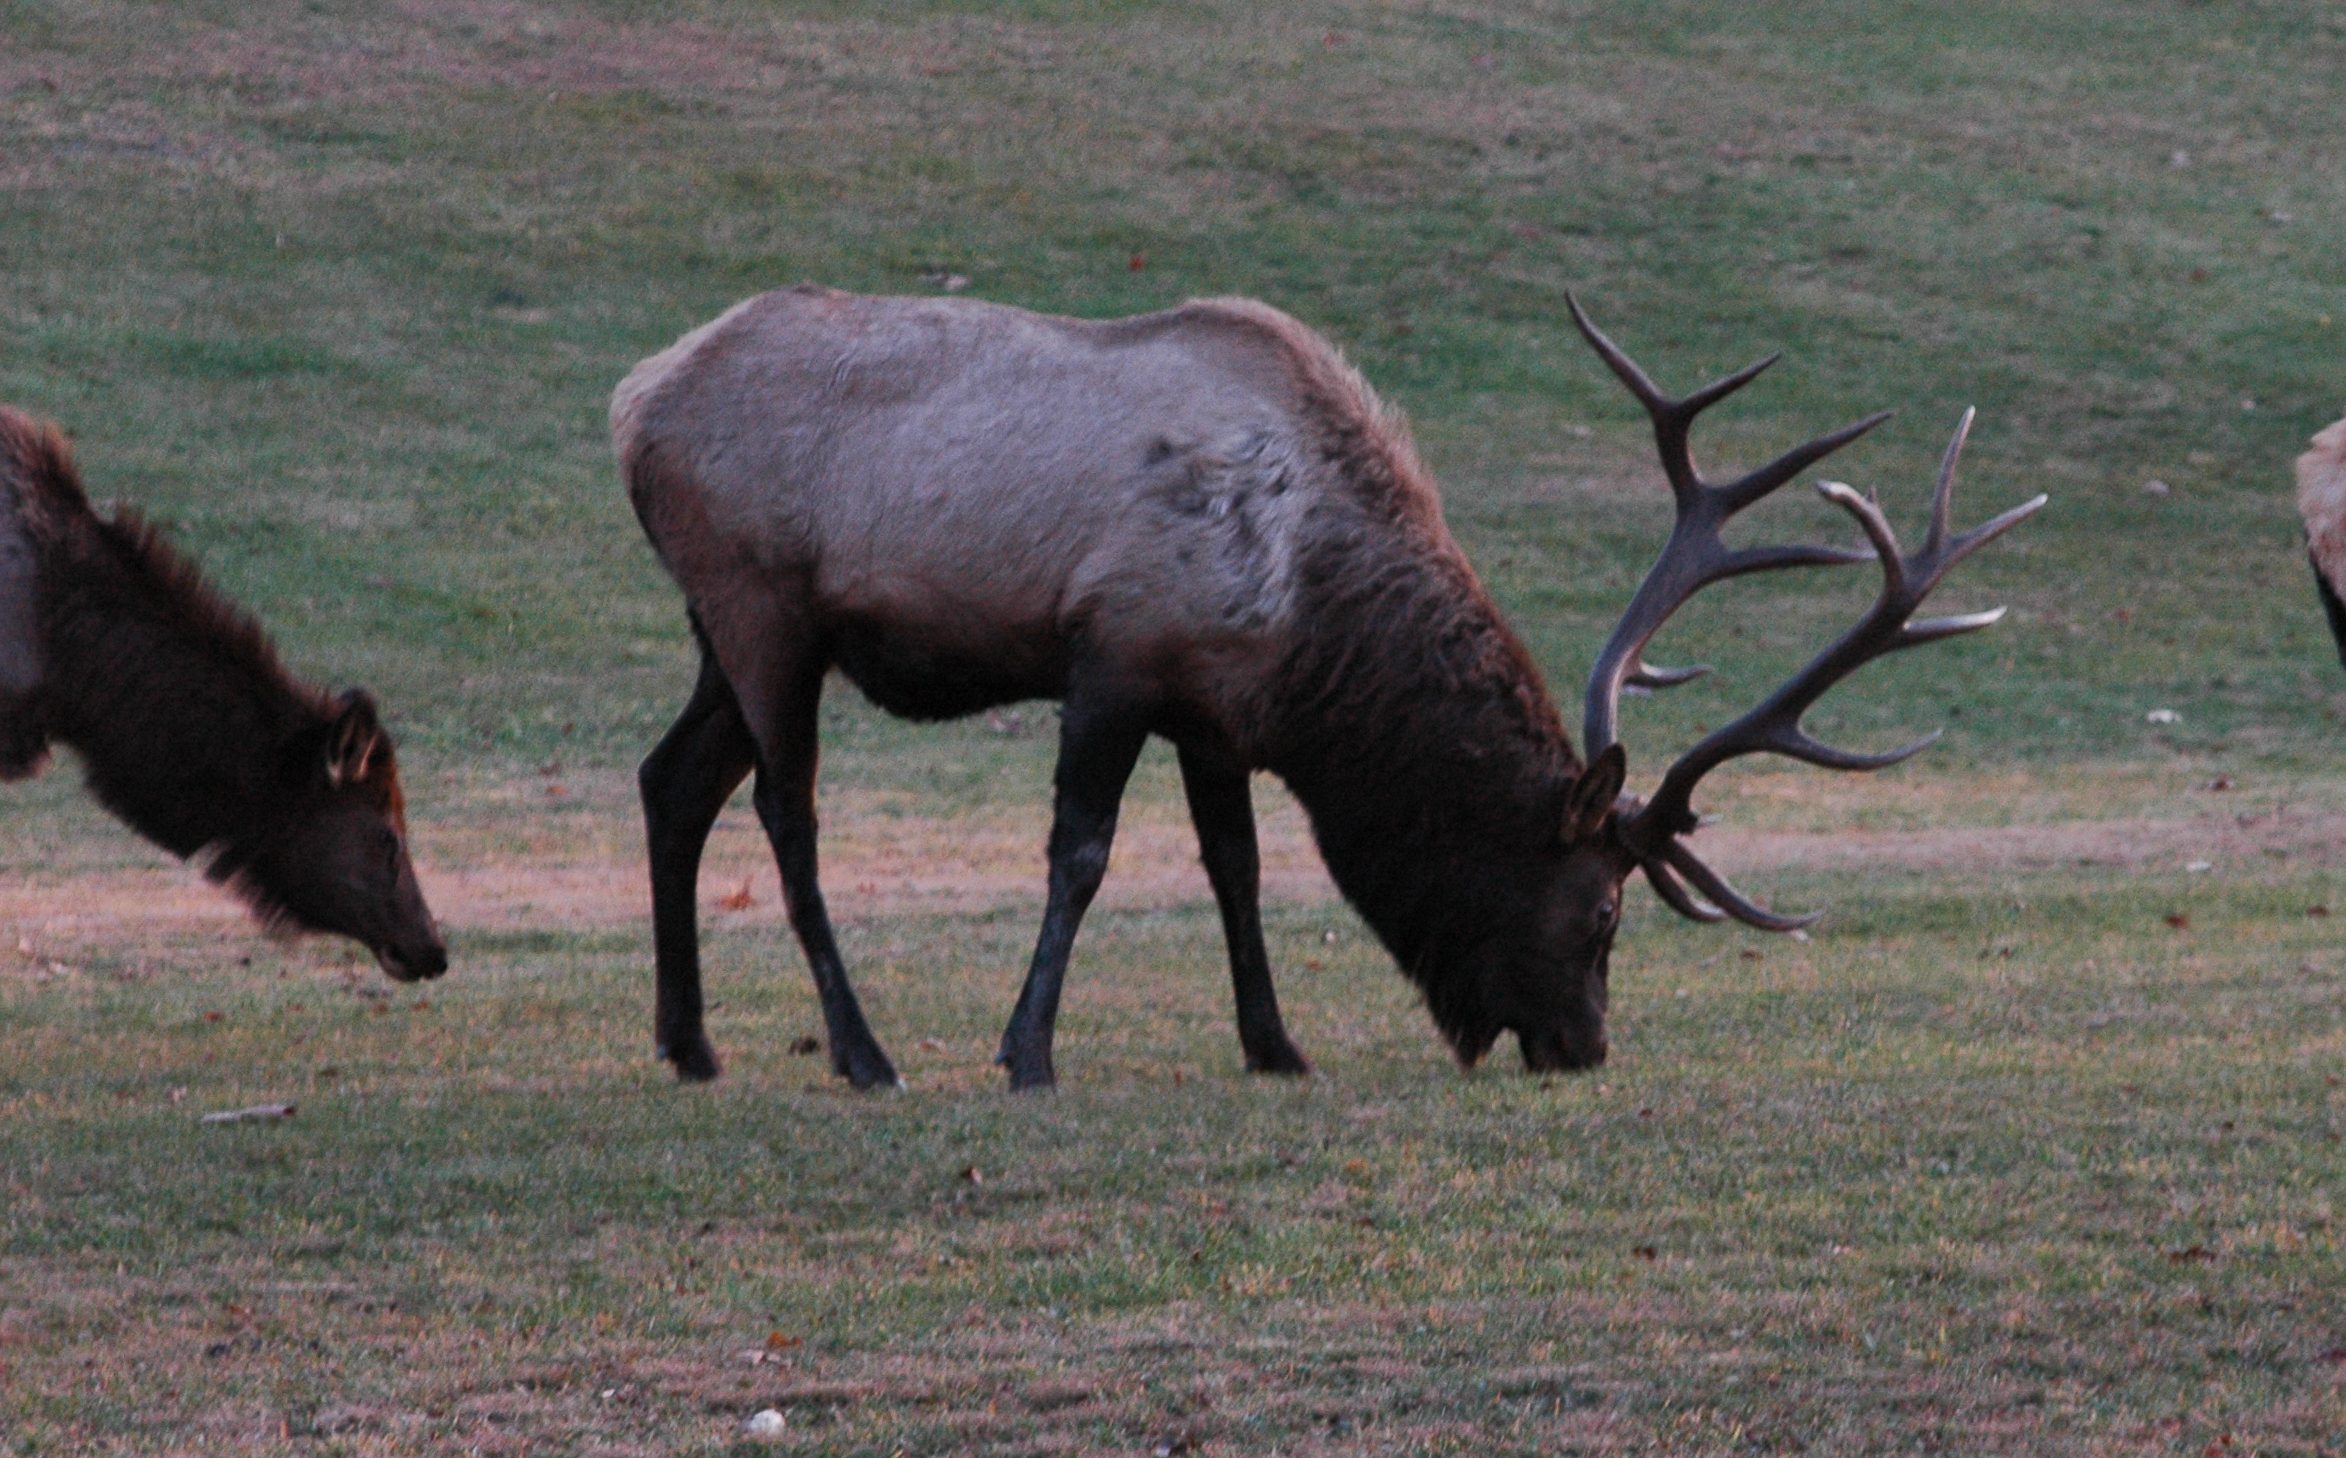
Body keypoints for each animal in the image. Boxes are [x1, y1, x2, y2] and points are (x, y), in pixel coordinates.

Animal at [614, 284, 2045, 1084]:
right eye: (1602, 915)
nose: (1586, 1049)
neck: (1310, 609)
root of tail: (634, 403)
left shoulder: (1208, 705)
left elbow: (1237, 869)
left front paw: (1276, 1045)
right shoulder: (1116, 648)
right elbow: (1081, 855)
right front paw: (1028, 1052)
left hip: (718, 628)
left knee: (670, 780)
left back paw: (690, 1043)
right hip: (760, 602)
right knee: (787, 816)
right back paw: (863, 1056)